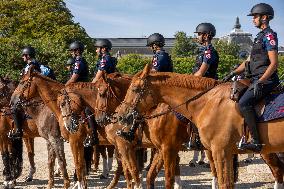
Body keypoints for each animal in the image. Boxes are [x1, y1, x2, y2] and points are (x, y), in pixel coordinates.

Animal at [115, 63, 284, 189]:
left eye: (134, 89)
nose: (119, 115)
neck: (207, 102)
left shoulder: (171, 148)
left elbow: (169, 180)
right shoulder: (162, 149)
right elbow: (151, 177)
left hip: (264, 149)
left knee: (277, 170)